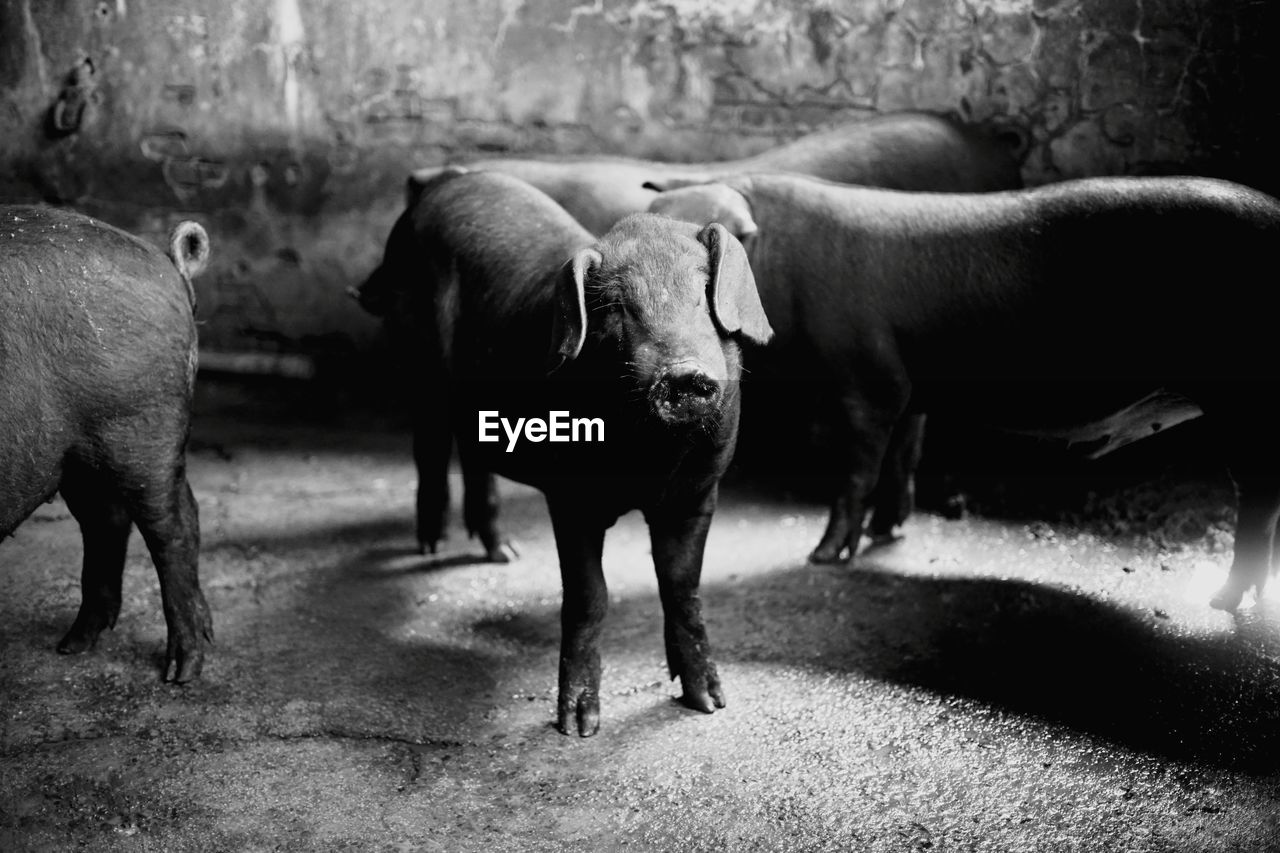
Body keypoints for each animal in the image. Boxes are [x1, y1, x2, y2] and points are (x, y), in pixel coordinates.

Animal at [0, 206, 209, 676]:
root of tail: (168, 261)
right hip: (77, 455)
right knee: (106, 521)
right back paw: (73, 645)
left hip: (142, 424)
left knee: (174, 523)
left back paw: (181, 671)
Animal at [355, 169, 768, 732]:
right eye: (615, 308)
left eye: (704, 294)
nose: (683, 374)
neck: (649, 461)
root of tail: (436, 190)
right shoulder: (569, 498)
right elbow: (589, 597)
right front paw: (578, 726)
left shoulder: (699, 492)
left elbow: (683, 590)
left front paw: (707, 702)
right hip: (417, 360)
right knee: (430, 445)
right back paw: (432, 547)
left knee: (473, 452)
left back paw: (503, 553)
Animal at [655, 174, 1280, 612]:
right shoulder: (910, 387)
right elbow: (903, 455)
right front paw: (887, 532)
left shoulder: (867, 376)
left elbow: (857, 469)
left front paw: (823, 556)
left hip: (1242, 400)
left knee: (1258, 499)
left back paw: (1223, 601)